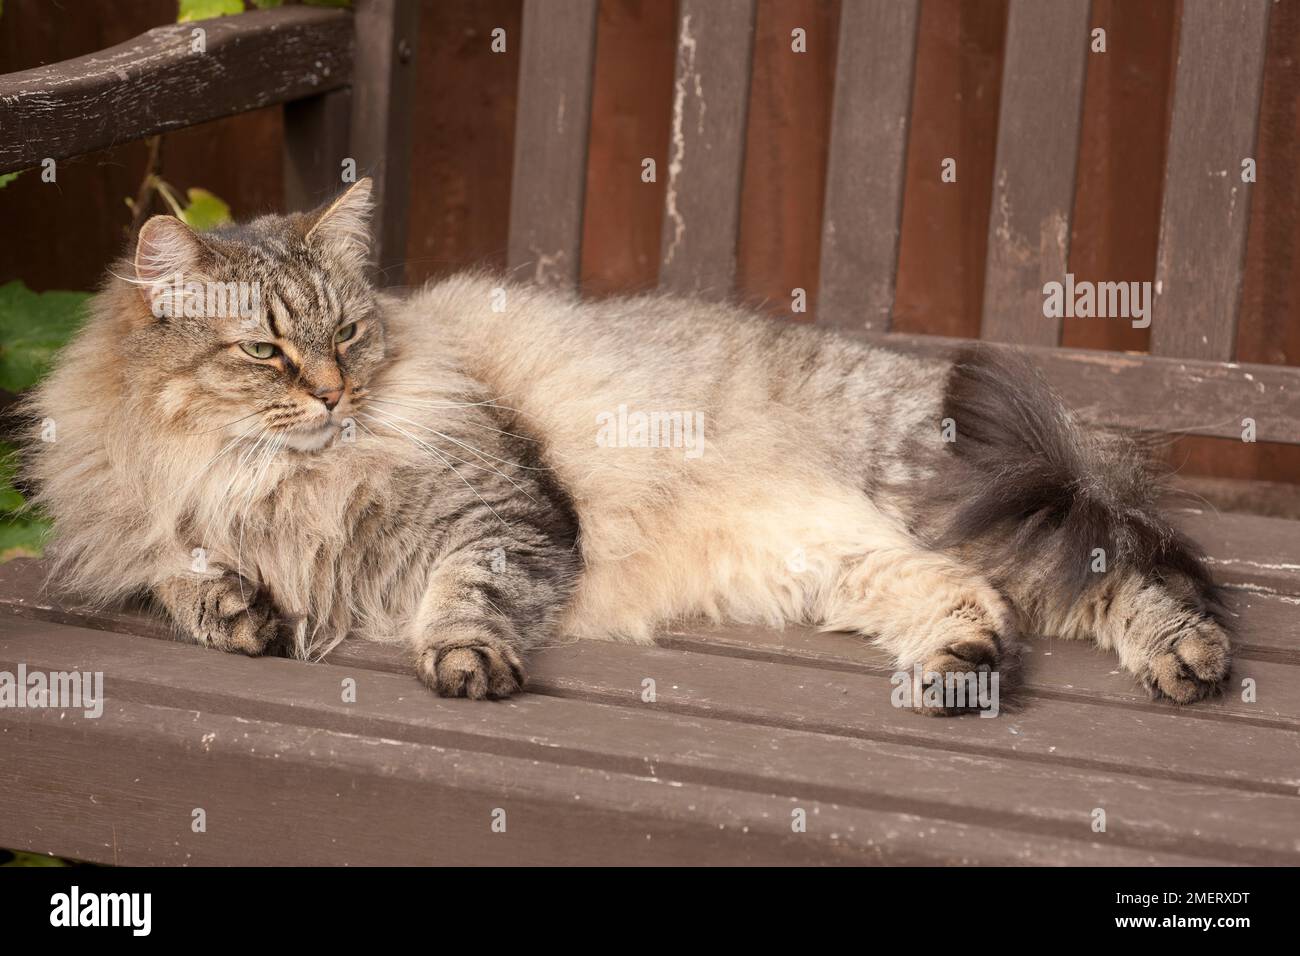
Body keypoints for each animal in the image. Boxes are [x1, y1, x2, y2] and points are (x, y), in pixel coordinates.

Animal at [20, 179, 1227, 712]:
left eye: (348, 334)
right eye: (268, 351)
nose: (332, 391)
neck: (263, 476)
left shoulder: (505, 512)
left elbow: (467, 592)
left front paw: (462, 660)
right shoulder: (145, 525)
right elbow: (180, 573)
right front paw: (235, 610)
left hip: (958, 498)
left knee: (1125, 572)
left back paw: (1185, 658)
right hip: (850, 555)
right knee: (974, 599)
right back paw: (958, 669)